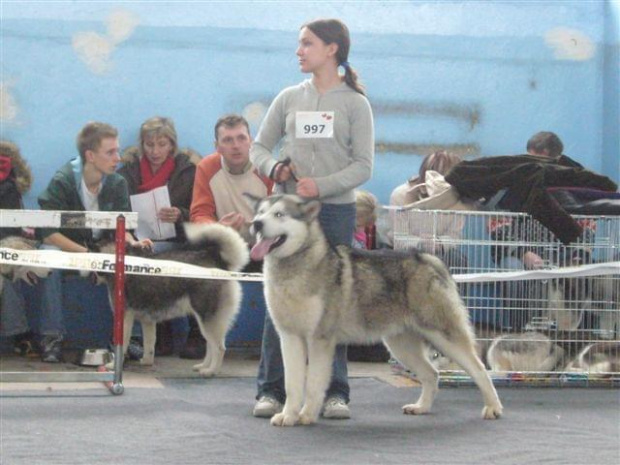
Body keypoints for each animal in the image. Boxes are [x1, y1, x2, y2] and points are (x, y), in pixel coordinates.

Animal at [98, 222, 248, 376]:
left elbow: (123, 344)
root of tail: (217, 261)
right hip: (206, 320)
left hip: (207, 318)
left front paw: (113, 365)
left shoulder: (125, 316)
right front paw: (146, 361)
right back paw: (203, 366)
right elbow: (149, 343)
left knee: (219, 348)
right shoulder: (147, 320)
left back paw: (211, 371)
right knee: (210, 346)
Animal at [248, 194, 504, 426]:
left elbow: (312, 384)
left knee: (480, 369)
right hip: (401, 346)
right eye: (260, 212)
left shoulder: (319, 339)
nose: (256, 224)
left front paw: (306, 416)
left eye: (279, 214)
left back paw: (493, 407)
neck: (294, 267)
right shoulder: (289, 338)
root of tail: (428, 258)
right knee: (432, 374)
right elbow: (292, 384)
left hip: (444, 336)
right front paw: (288, 416)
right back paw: (421, 407)